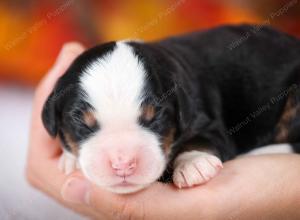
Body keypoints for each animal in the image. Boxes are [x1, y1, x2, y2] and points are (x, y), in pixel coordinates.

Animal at [41, 24, 300, 192]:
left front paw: (194, 165)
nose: (123, 164)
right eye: (81, 122)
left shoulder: (206, 120)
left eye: (154, 118)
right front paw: (70, 159)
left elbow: (201, 141)